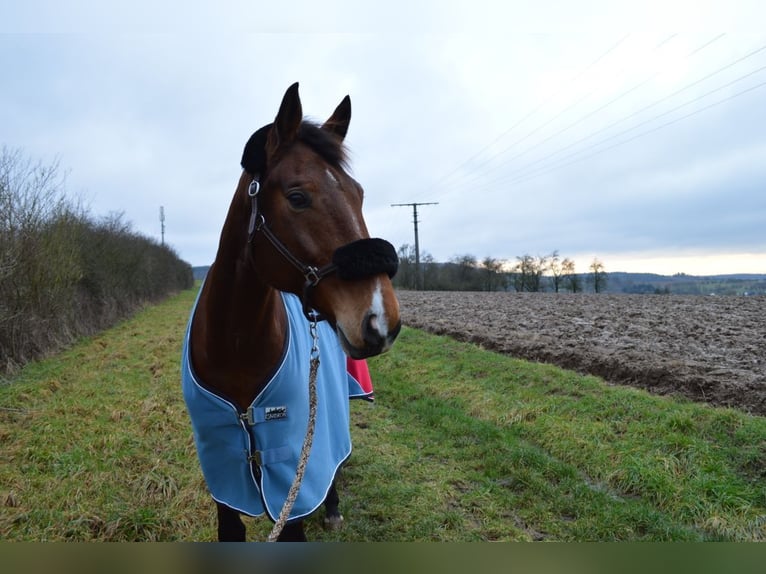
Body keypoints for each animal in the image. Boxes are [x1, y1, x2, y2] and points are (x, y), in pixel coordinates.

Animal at [181, 83, 402, 544]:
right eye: (298, 197)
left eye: (359, 194)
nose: (381, 319)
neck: (235, 348)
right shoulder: (223, 476)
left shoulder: (291, 482)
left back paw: (331, 506)